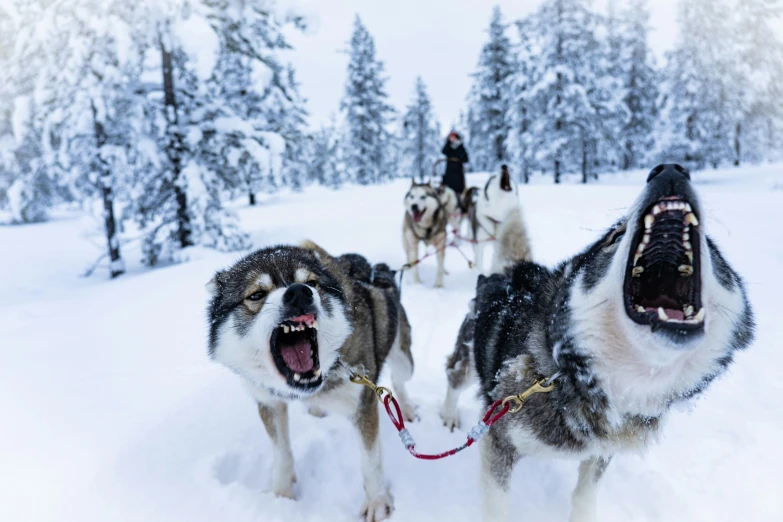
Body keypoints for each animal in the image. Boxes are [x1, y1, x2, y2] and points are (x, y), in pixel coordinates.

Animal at [207, 242, 416, 516]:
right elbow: (282, 453)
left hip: (403, 362)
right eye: (256, 295)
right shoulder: (268, 403)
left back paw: (407, 409)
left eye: (312, 283)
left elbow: (371, 461)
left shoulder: (363, 405)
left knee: (400, 382)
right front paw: (280, 495)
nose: (298, 292)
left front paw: (377, 502)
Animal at [440, 165, 752, 516]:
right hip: (468, 360)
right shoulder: (499, 443)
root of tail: (506, 274)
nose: (670, 169)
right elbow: (497, 507)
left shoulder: (603, 450)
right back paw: (448, 414)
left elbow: (584, 496)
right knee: (453, 374)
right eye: (614, 236)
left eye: (709, 246)